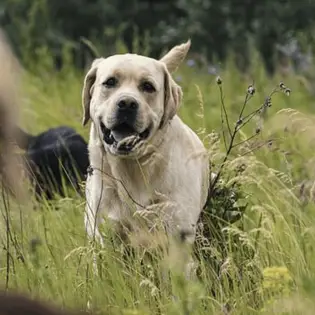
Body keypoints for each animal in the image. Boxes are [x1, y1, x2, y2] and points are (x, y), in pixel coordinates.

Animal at [82, 40, 210, 276]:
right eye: (110, 82)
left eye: (148, 87)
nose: (127, 103)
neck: (132, 168)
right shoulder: (108, 237)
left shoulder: (176, 238)